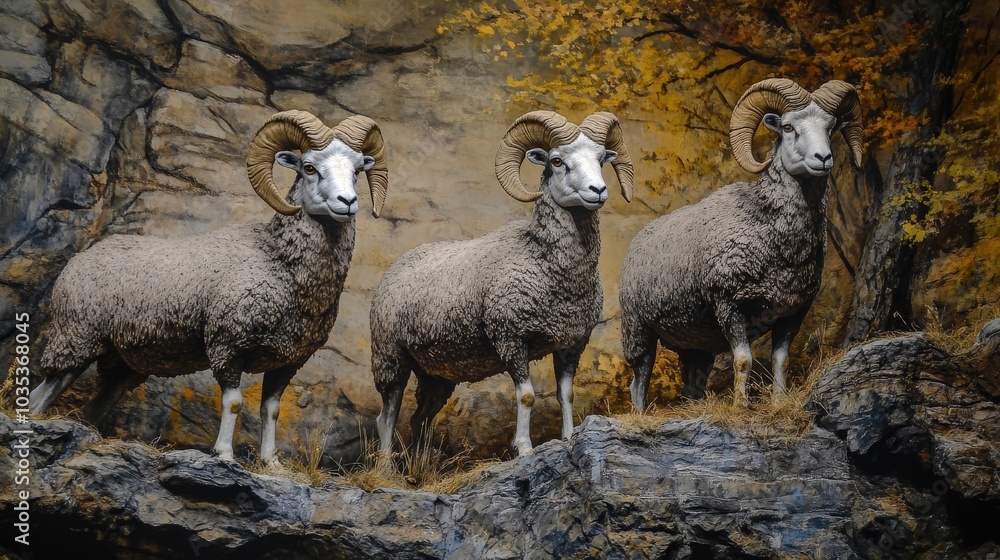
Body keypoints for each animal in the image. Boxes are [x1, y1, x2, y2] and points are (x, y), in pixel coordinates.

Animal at [28, 110, 389, 467]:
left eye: (357, 169)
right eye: (310, 167)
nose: (347, 202)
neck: (278, 262)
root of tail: (79, 260)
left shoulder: (286, 362)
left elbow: (271, 410)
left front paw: (271, 463)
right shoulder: (226, 346)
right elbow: (234, 402)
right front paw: (224, 455)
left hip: (121, 366)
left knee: (90, 408)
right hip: (75, 341)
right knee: (39, 396)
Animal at [370, 111, 634, 456]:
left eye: (602, 158)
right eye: (557, 161)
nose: (598, 190)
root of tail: (394, 270)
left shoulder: (571, 343)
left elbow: (567, 394)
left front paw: (569, 437)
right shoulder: (511, 339)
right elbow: (527, 396)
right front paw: (524, 448)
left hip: (436, 373)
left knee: (420, 418)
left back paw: (422, 464)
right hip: (389, 357)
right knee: (387, 414)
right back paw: (386, 465)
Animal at [619, 78, 863, 408]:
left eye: (831, 126)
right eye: (788, 127)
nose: (823, 159)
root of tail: (638, 241)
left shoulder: (793, 313)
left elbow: (780, 360)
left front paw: (777, 402)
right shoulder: (730, 306)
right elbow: (743, 360)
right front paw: (740, 405)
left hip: (695, 347)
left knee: (691, 385)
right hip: (638, 331)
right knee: (639, 379)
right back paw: (641, 413)